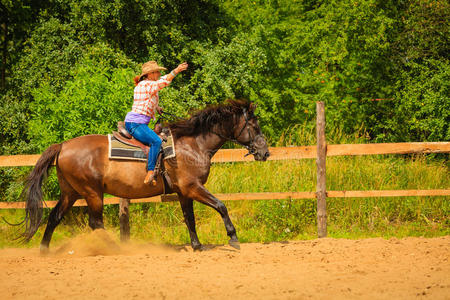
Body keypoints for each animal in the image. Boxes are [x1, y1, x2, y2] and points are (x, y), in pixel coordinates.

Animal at [20, 99, 270, 252]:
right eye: (255, 126)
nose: (265, 152)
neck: (193, 145)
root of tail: (63, 146)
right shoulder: (193, 187)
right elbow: (221, 206)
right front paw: (233, 238)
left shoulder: (183, 192)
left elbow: (189, 218)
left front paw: (197, 245)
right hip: (92, 193)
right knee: (95, 222)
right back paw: (116, 249)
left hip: (71, 193)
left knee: (54, 217)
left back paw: (44, 250)